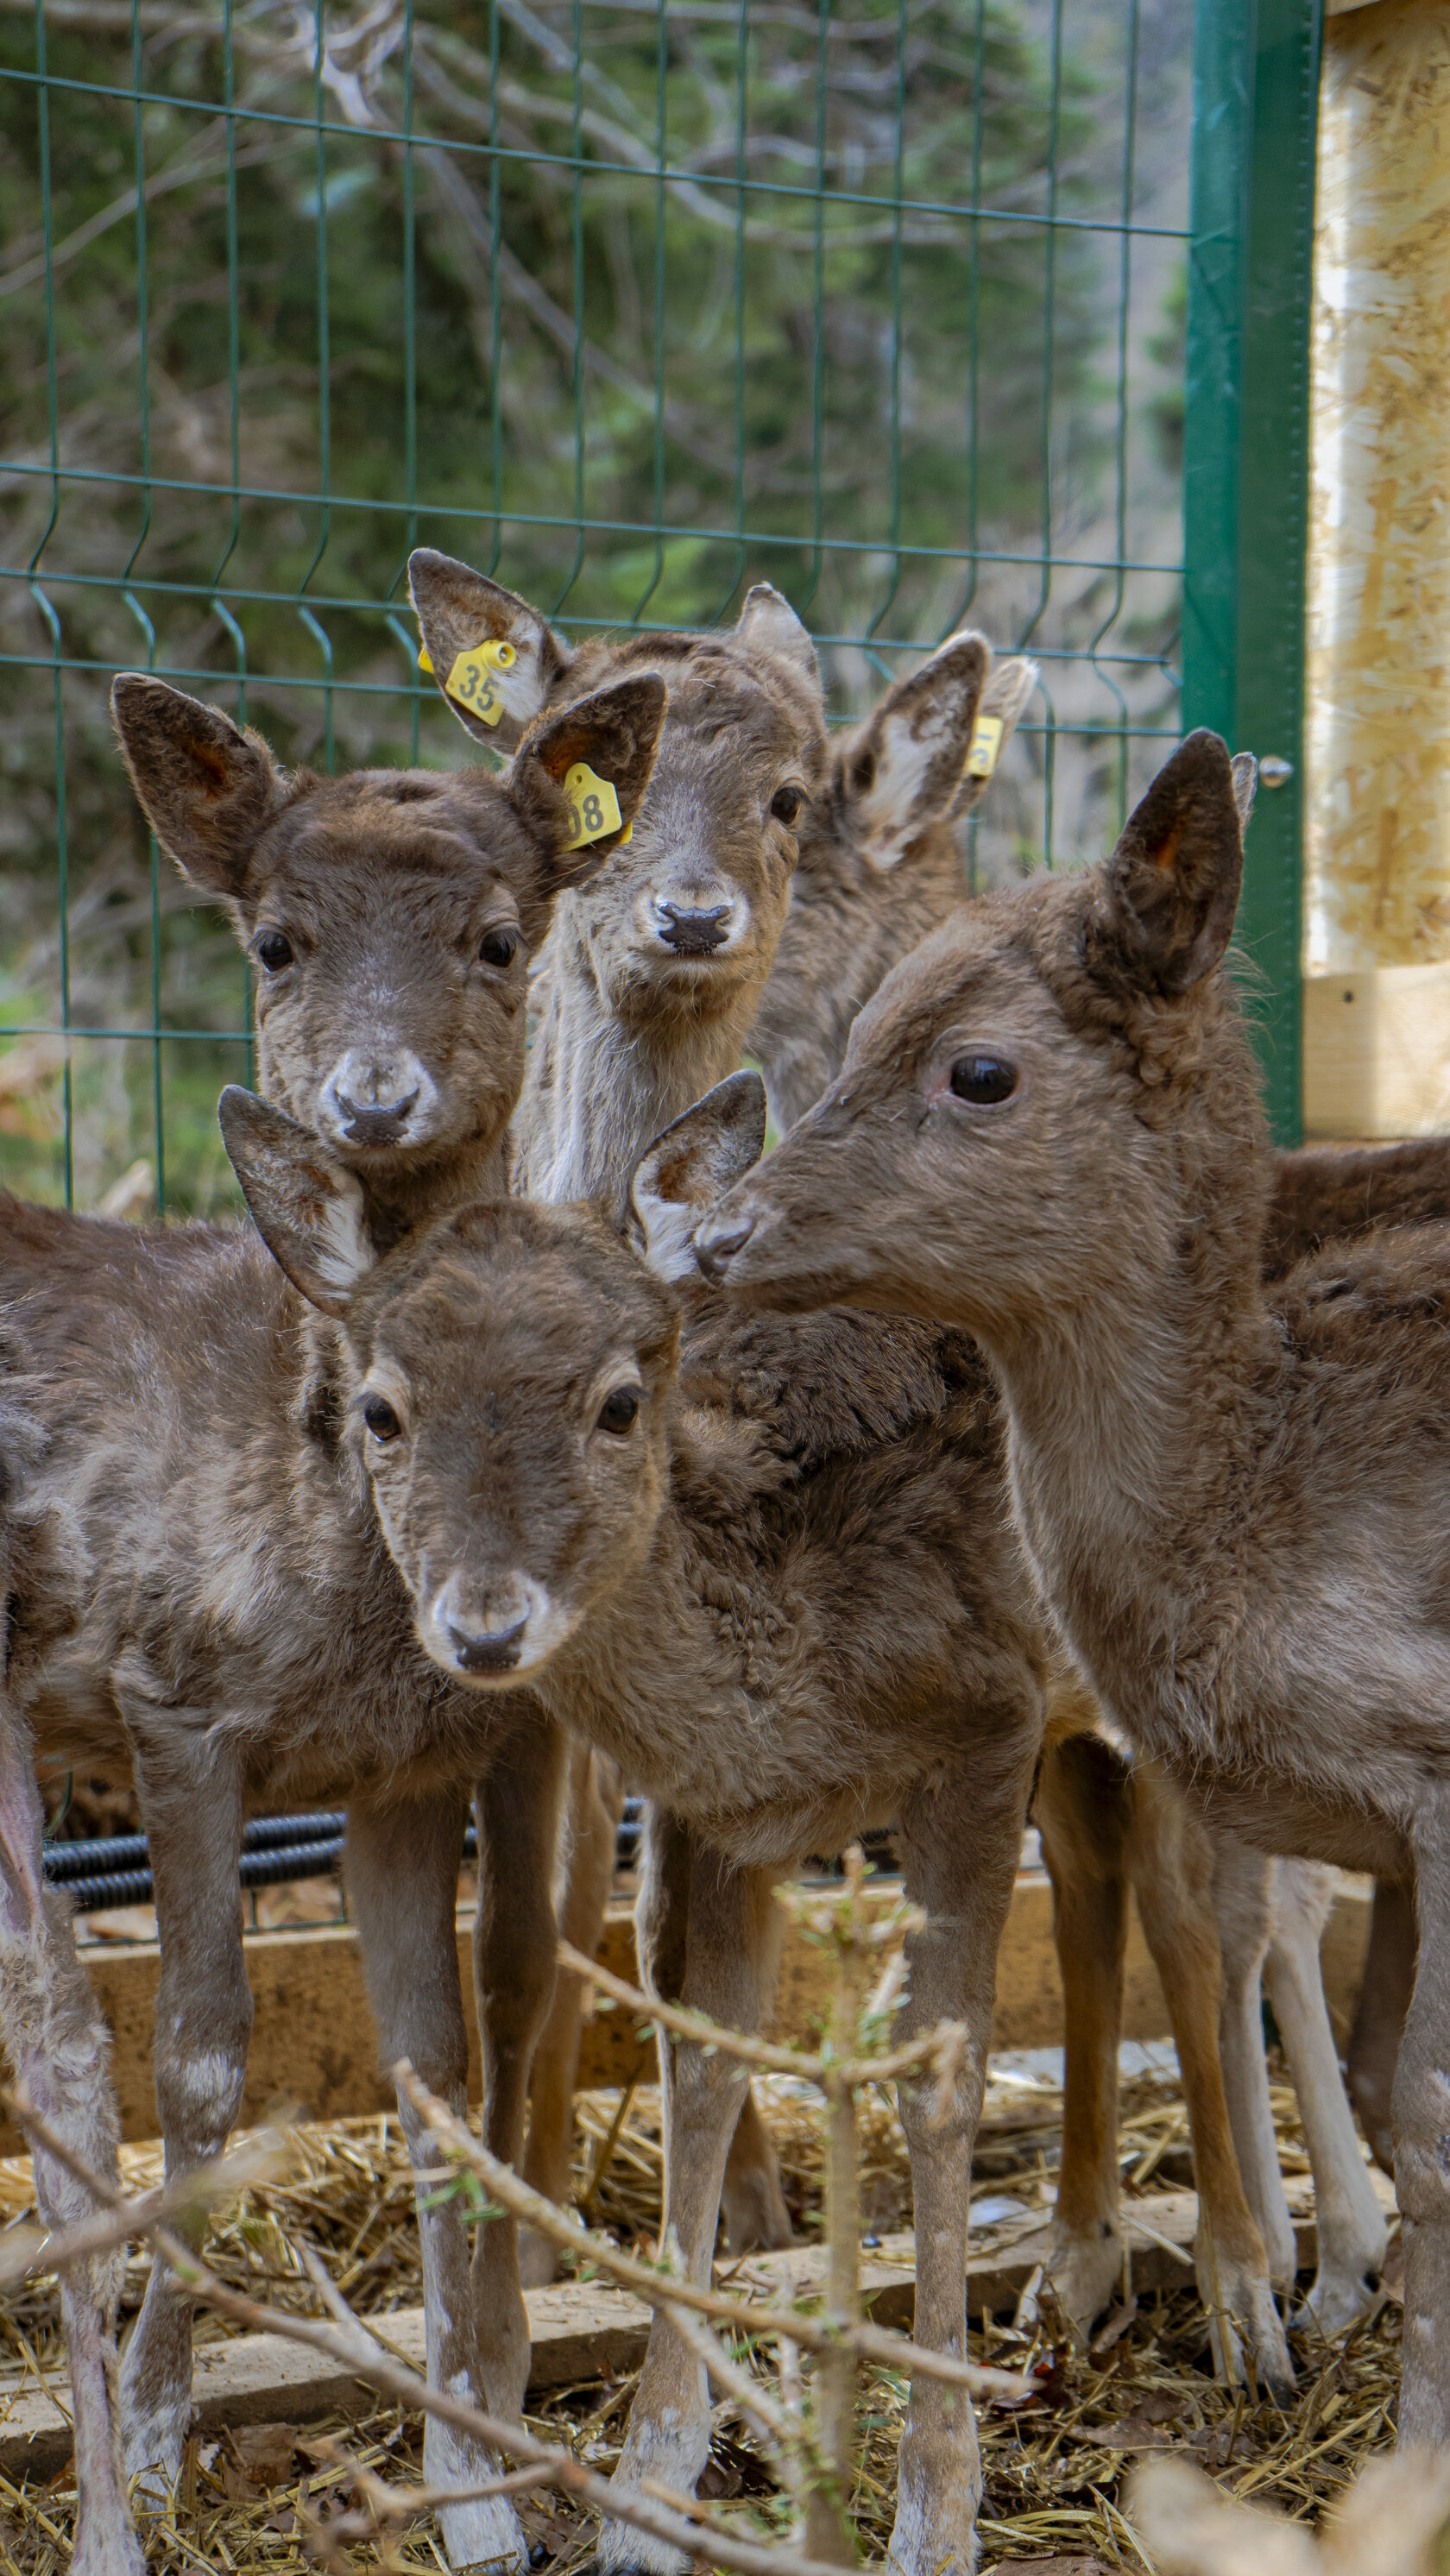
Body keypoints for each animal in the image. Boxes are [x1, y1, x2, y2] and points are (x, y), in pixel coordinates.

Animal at [218, 1076, 1045, 2576]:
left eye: (618, 1399)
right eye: (380, 1410)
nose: (486, 1626)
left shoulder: (990, 1722)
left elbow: (940, 2085)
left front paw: (939, 2510)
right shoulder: (714, 1813)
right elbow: (700, 2069)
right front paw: (651, 2488)